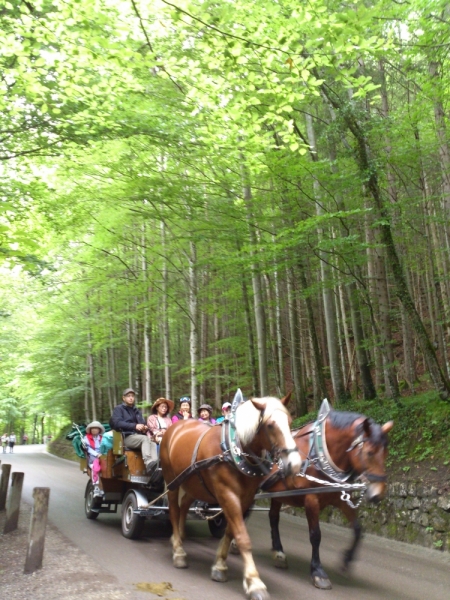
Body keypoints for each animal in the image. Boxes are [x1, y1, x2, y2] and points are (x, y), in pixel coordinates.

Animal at [159, 390, 302, 600]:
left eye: (290, 421)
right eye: (270, 425)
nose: (295, 464)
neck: (235, 449)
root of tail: (175, 427)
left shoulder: (246, 498)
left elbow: (230, 531)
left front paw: (219, 566)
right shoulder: (227, 494)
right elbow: (242, 536)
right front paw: (254, 582)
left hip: (194, 482)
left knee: (184, 504)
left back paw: (180, 536)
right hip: (172, 481)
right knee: (174, 509)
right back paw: (178, 551)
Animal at [266, 404, 392, 592]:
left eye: (385, 453)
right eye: (369, 453)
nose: (378, 494)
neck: (319, 455)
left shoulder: (340, 498)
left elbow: (357, 530)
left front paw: (346, 561)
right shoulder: (311, 499)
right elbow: (315, 535)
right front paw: (318, 572)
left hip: (277, 493)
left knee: (273, 517)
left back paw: (278, 552)